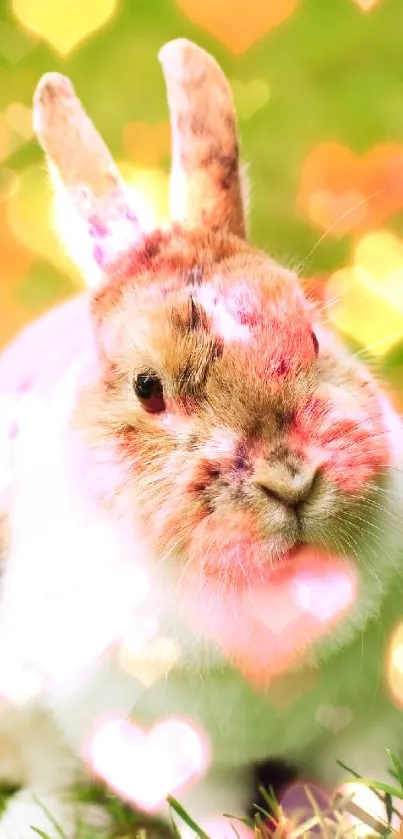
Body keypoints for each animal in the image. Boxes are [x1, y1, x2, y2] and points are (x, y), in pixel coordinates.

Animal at [0, 37, 403, 839]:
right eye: (147, 388)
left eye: (313, 336)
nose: (291, 479)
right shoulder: (164, 740)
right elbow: (206, 809)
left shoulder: (366, 711)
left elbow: (366, 775)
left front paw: (375, 812)